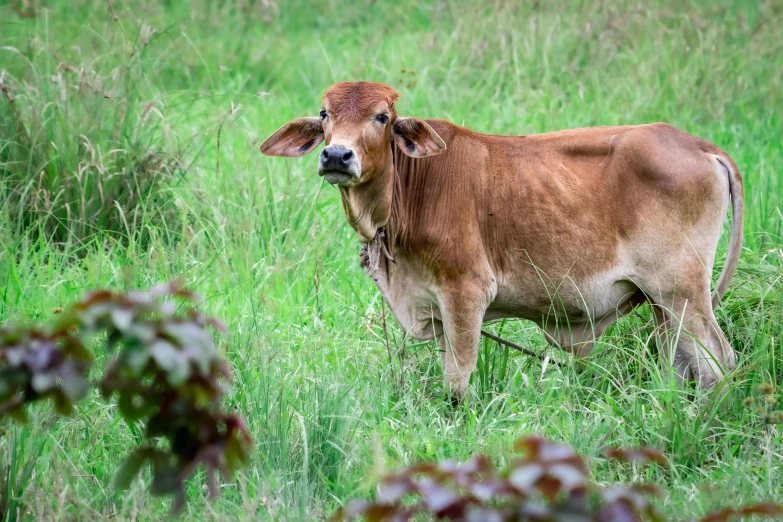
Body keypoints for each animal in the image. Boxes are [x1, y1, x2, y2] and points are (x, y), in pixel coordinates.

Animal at [260, 81, 744, 398]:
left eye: (382, 116)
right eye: (324, 114)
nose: (336, 155)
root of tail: (700, 146)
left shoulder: (465, 292)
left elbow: (458, 383)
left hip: (682, 291)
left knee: (718, 364)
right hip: (665, 304)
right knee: (684, 364)